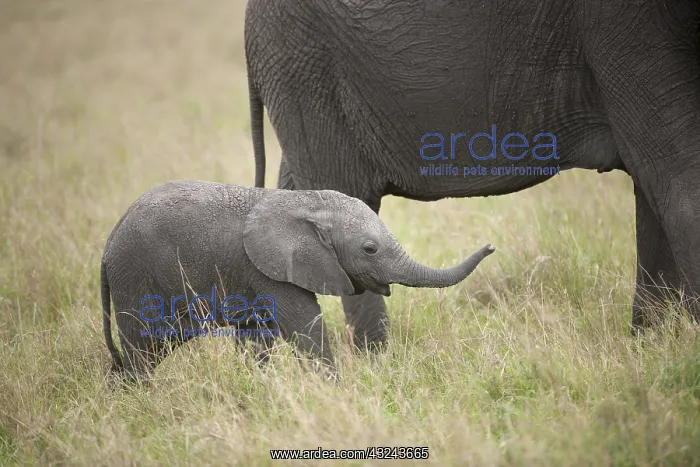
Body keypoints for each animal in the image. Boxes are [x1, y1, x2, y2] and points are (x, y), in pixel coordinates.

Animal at [101, 180, 495, 381]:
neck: (308, 203)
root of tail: (107, 247)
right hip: (134, 276)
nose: (491, 245)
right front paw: (335, 391)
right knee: (145, 343)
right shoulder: (268, 270)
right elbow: (304, 326)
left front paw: (260, 388)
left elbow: (258, 335)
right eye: (369, 249)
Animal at [244, 0, 700, 343]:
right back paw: (376, 367)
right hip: (306, 68)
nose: (491, 246)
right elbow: (680, 190)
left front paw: (648, 351)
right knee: (341, 191)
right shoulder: (621, 25)